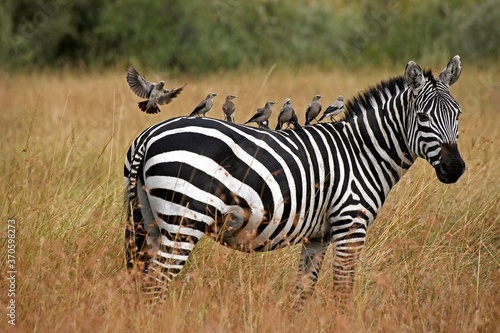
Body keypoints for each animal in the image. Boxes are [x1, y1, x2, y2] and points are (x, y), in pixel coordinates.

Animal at [124, 55, 464, 304]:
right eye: (423, 117)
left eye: (458, 115)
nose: (455, 168)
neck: (362, 151)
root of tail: (148, 135)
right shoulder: (351, 225)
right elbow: (342, 291)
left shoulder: (319, 236)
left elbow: (303, 291)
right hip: (184, 218)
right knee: (155, 285)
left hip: (148, 220)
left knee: (141, 282)